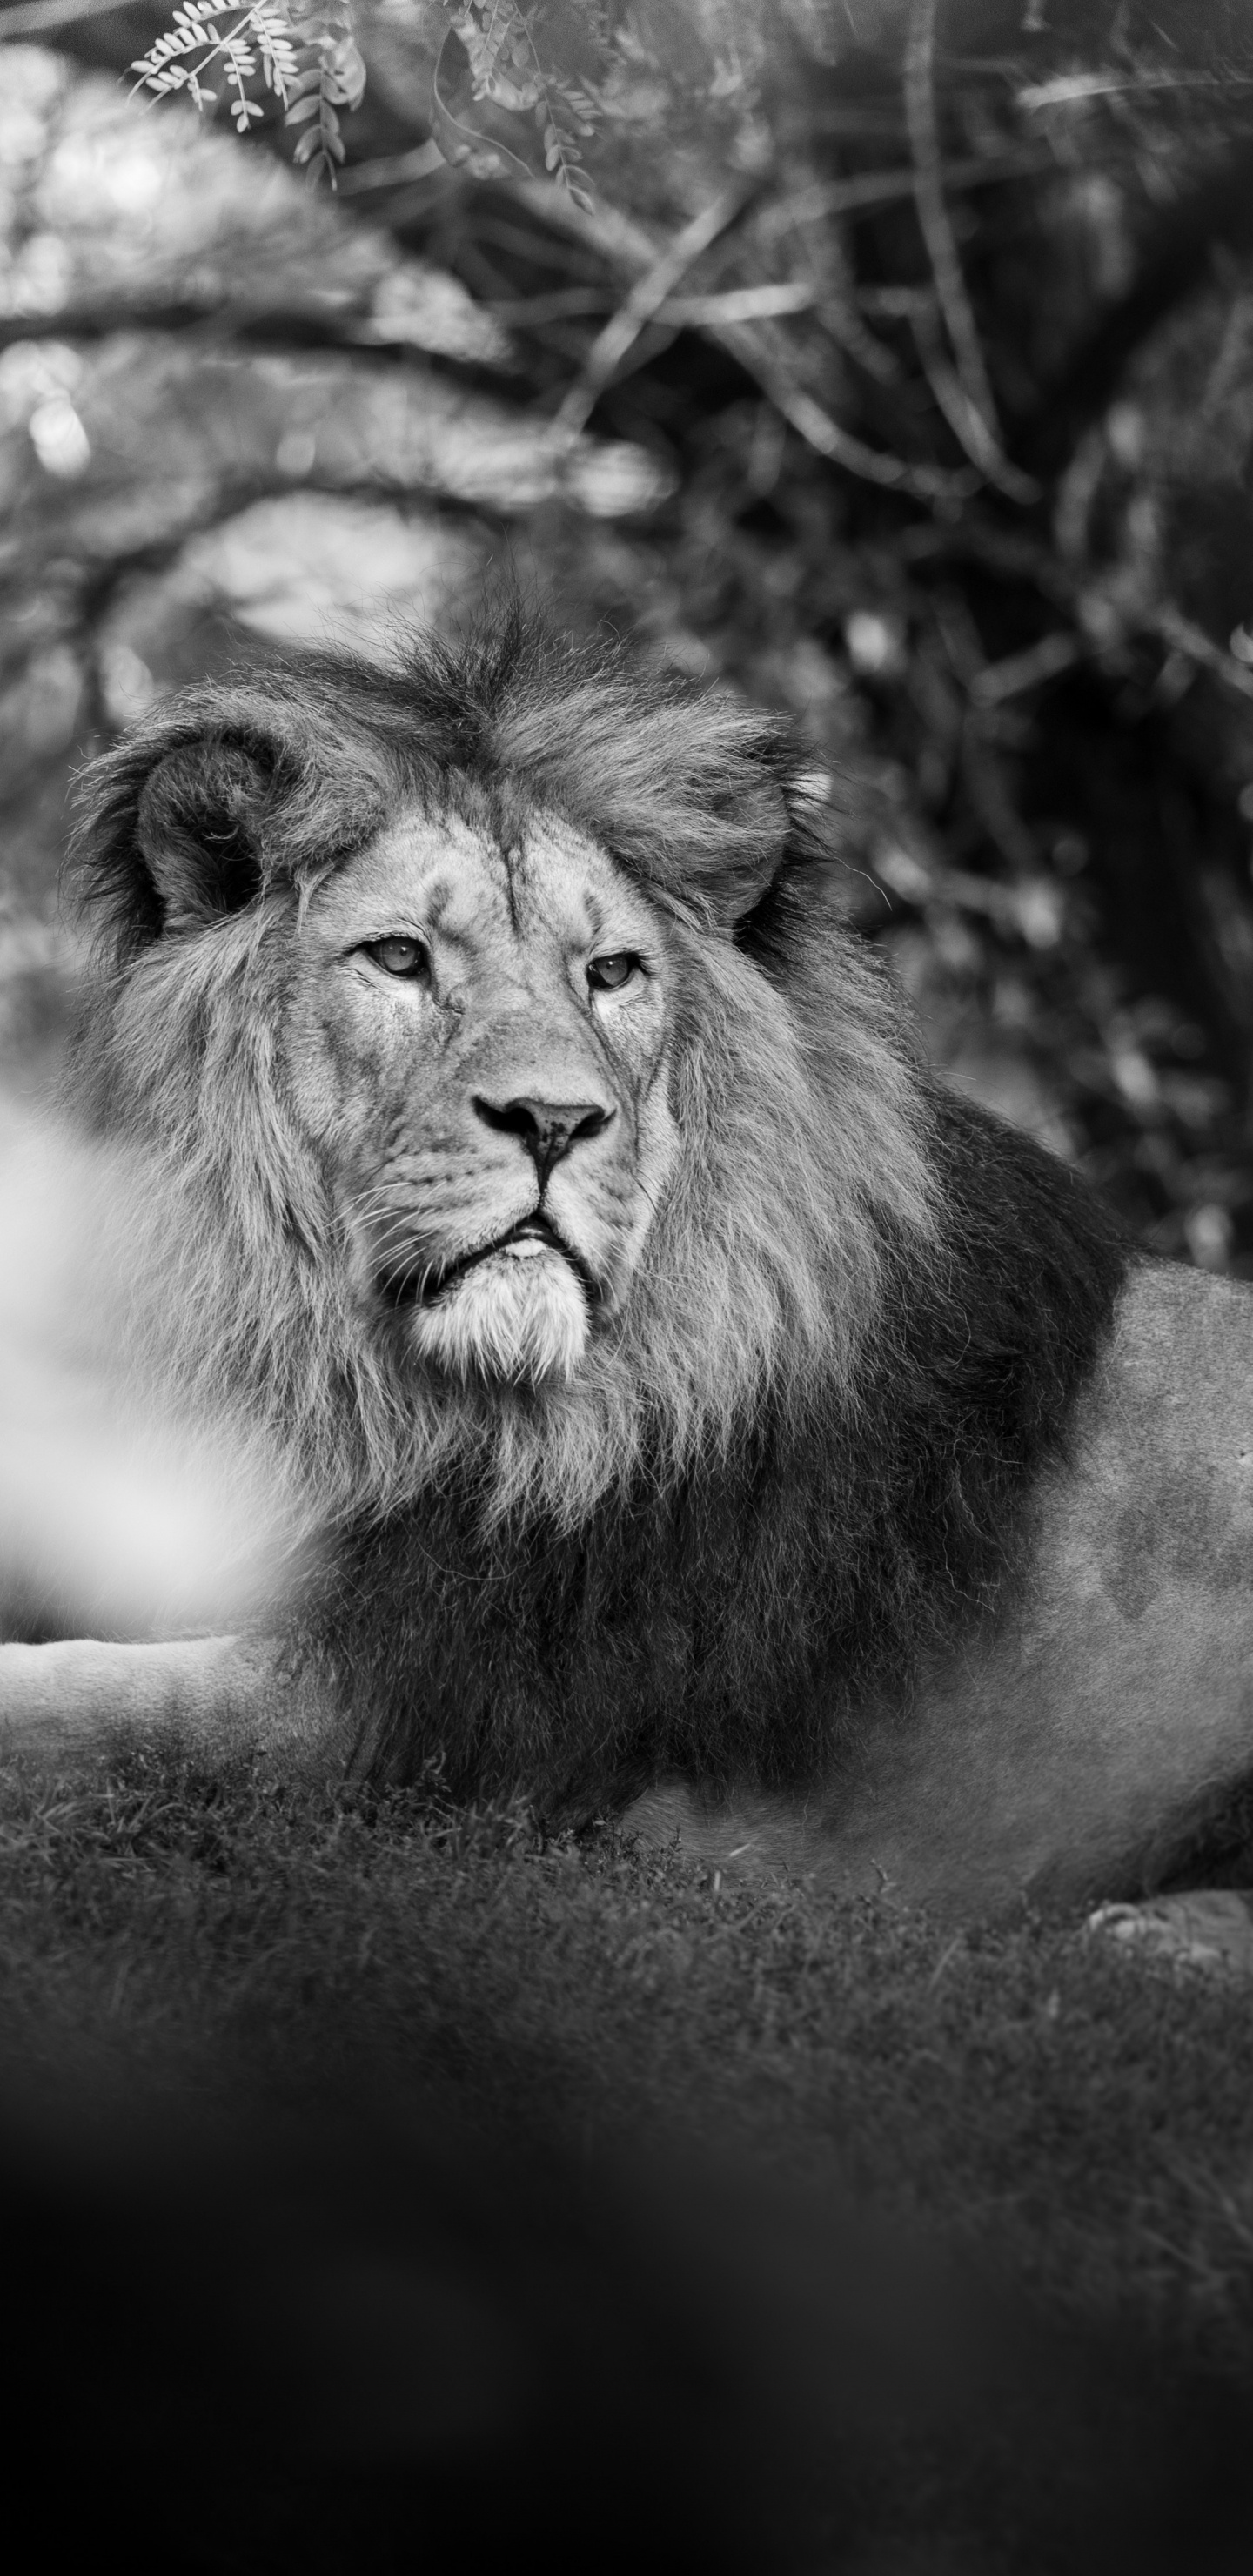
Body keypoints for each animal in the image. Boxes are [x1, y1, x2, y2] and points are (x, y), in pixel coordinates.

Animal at [4, 610, 1253, 1934]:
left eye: (609, 973)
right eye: (398, 957)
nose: (555, 1120)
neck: (367, 1393)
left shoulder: (405, 1716)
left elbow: (99, 1716)